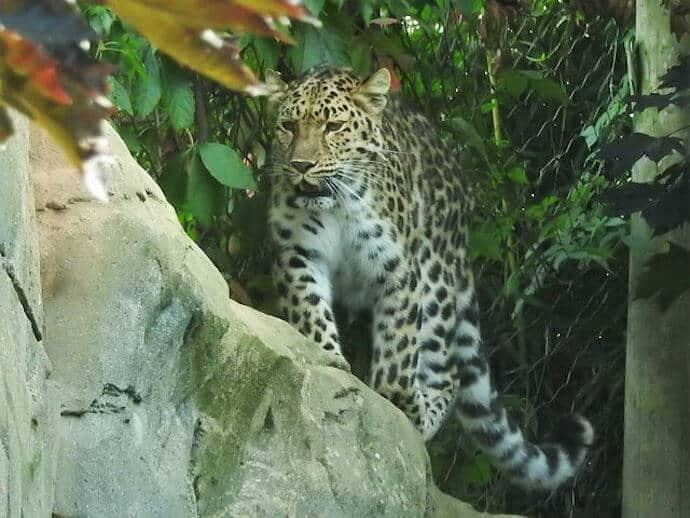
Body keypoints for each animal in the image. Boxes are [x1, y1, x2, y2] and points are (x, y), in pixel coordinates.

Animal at [264, 65, 592, 492]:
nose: (301, 165)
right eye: (287, 126)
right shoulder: (298, 253)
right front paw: (329, 361)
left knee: (447, 374)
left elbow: (397, 356)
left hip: (437, 282)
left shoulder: (398, 268)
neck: (336, 206)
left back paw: (423, 414)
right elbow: (311, 312)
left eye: (333, 126)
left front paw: (395, 407)